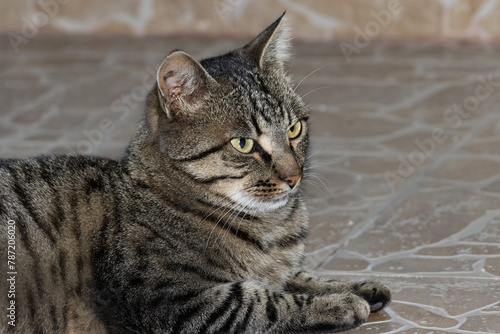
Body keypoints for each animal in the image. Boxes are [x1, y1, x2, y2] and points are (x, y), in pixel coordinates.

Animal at [0, 13, 390, 334]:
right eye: (244, 144)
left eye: (294, 129)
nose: (293, 177)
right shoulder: (171, 299)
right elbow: (261, 301)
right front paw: (339, 303)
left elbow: (295, 276)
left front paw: (355, 286)